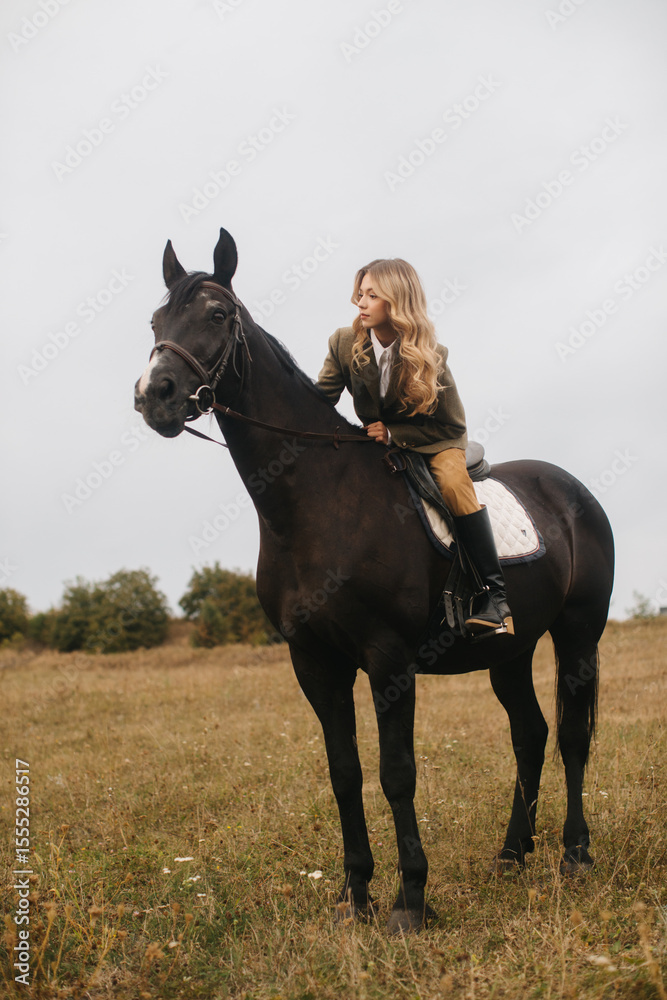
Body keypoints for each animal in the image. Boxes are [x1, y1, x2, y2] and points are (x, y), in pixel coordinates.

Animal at [134, 227, 614, 934]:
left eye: (217, 315)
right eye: (156, 321)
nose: (155, 395)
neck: (316, 501)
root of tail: (572, 488)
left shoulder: (389, 660)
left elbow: (397, 773)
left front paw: (409, 900)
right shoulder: (315, 663)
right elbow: (345, 772)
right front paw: (354, 895)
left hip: (578, 635)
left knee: (574, 738)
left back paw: (574, 855)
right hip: (511, 650)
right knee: (530, 736)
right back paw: (510, 855)